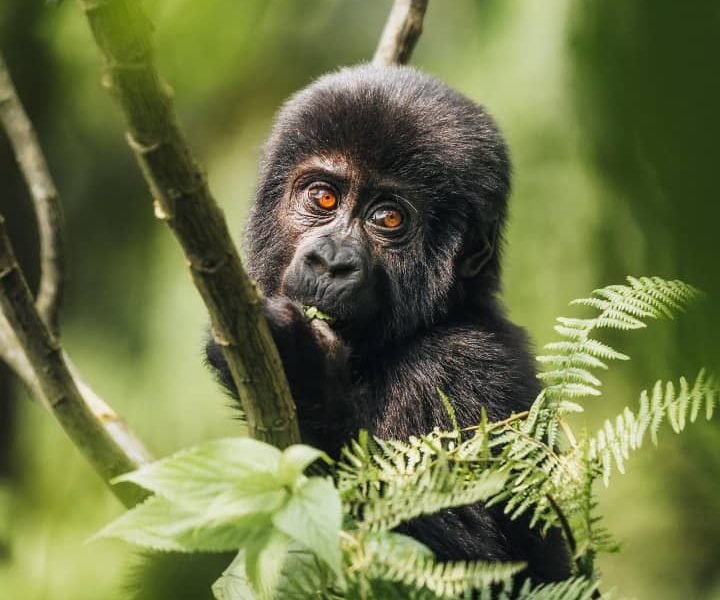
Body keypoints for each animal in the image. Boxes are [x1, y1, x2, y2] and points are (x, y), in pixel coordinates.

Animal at [203, 63, 572, 585]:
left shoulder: (465, 367)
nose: (330, 262)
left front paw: (303, 372)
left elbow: (470, 557)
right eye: (323, 197)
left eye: (389, 217)